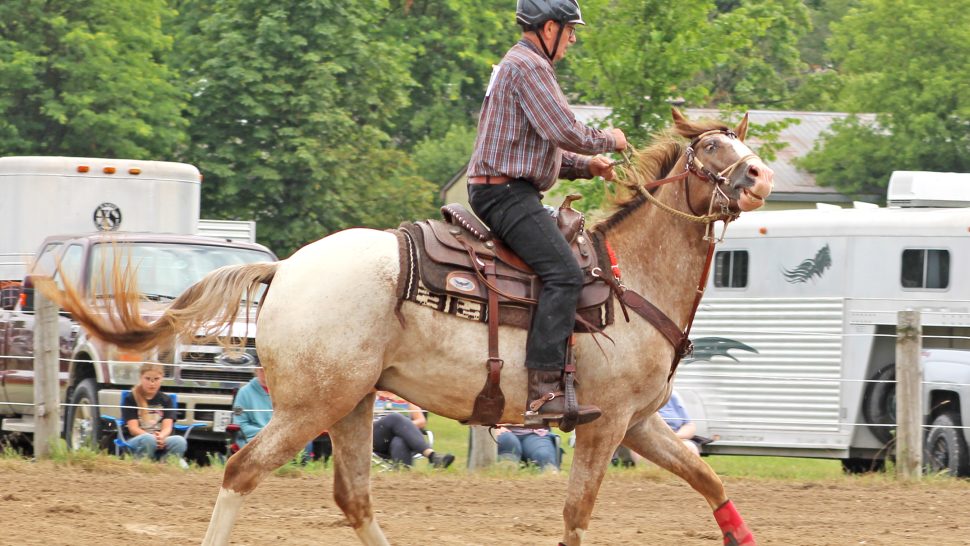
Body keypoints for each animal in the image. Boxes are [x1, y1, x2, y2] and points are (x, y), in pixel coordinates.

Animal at [39, 108, 773, 545]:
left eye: (743, 141)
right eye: (713, 145)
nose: (762, 175)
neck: (629, 281)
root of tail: (284, 269)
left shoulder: (638, 422)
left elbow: (708, 479)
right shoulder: (603, 423)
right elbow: (576, 513)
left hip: (352, 403)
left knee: (354, 496)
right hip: (311, 407)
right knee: (243, 470)